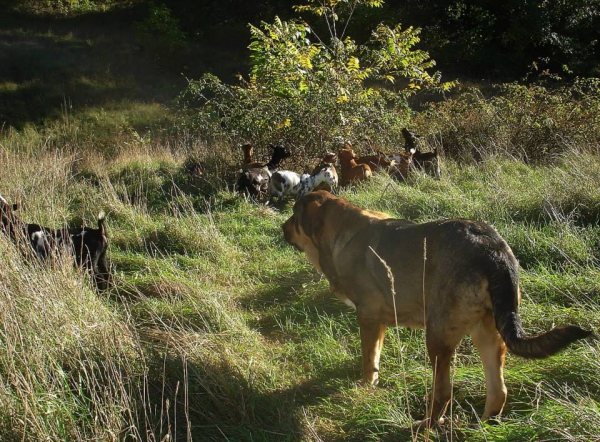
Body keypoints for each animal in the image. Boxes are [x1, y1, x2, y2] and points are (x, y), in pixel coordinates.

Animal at [284, 192, 592, 426]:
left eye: (294, 217)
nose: (281, 229)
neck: (340, 231)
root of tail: (493, 250)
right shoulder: (379, 322)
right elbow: (376, 356)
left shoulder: (368, 318)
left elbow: (368, 361)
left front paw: (366, 386)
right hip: (488, 335)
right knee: (498, 391)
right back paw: (483, 426)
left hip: (437, 337)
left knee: (443, 392)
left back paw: (427, 425)